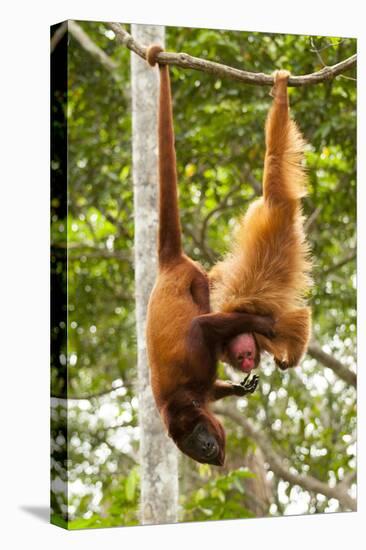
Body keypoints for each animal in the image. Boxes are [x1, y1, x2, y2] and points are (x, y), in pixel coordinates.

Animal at [145, 45, 274, 468]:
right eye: (190, 446)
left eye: (198, 435)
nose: (204, 449)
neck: (181, 403)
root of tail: (167, 265)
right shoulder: (199, 392)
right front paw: (235, 387)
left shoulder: (194, 370)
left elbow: (202, 329)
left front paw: (262, 323)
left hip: (194, 279)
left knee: (204, 305)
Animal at [209, 68, 312, 370]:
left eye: (244, 355)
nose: (246, 365)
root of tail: (272, 210)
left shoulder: (260, 321)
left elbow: (300, 322)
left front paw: (289, 359)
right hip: (262, 210)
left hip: (277, 201)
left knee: (275, 158)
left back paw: (280, 98)